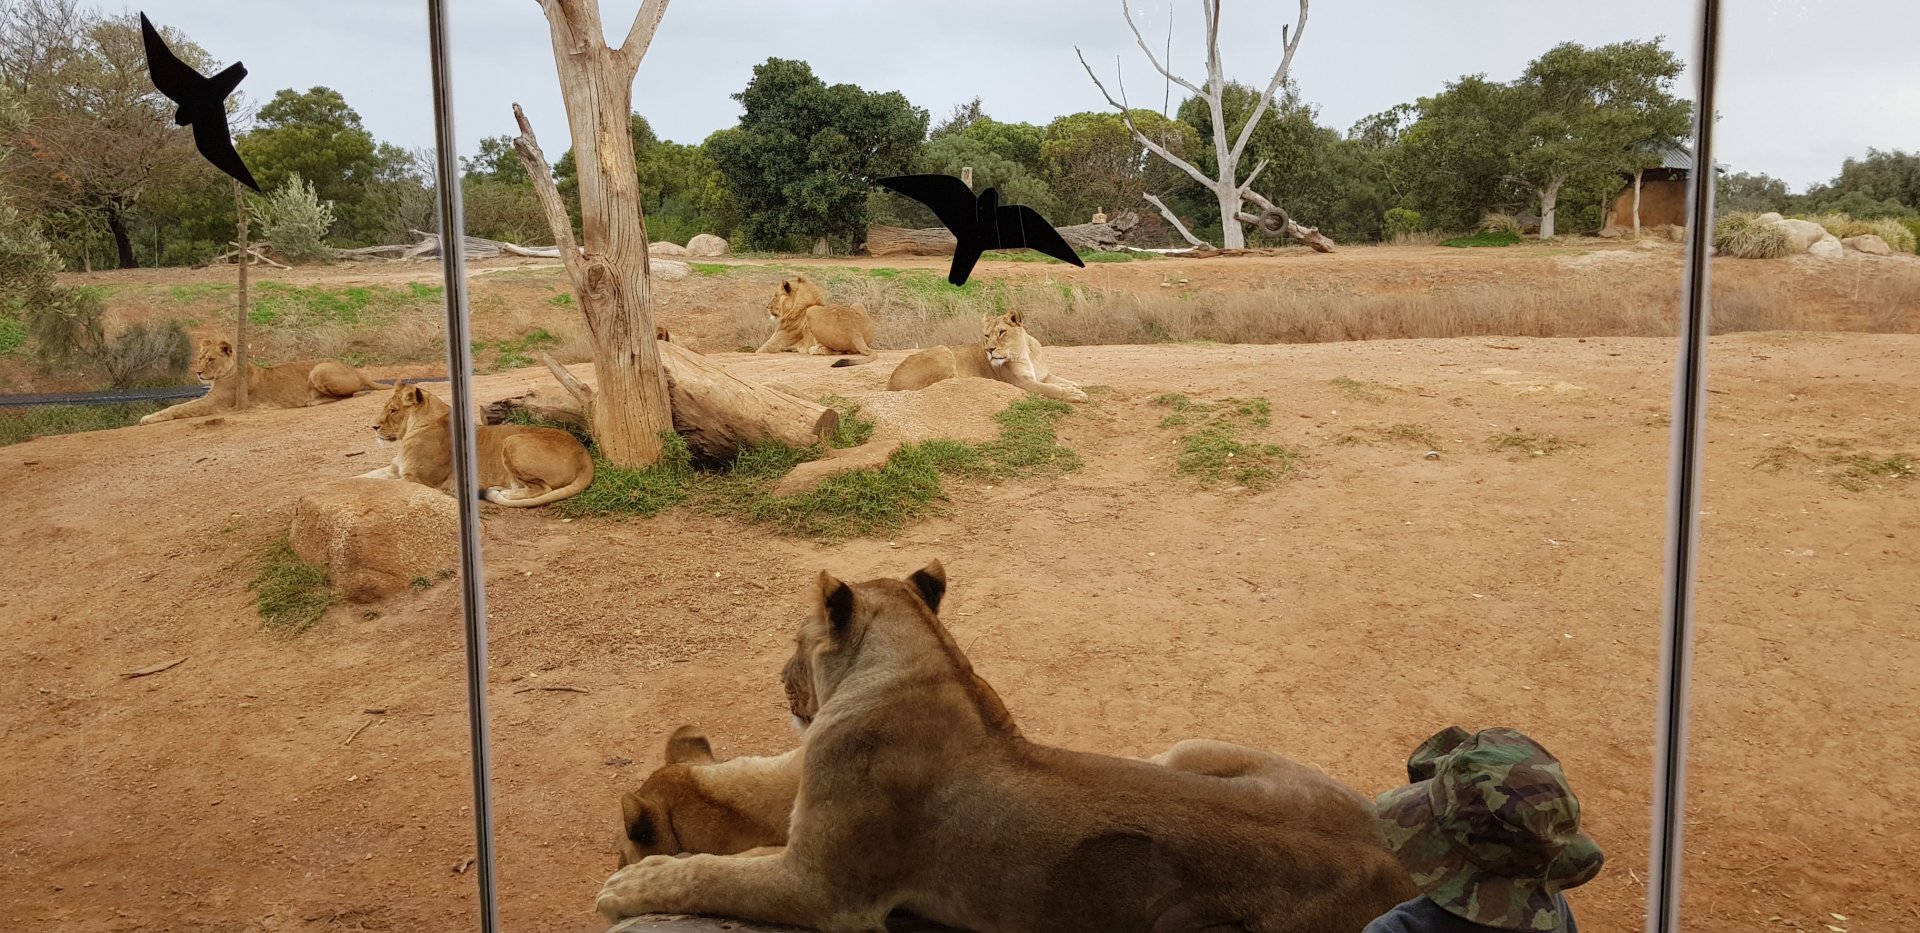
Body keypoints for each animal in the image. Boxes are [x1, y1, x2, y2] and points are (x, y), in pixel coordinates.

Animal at [138, 338, 383, 425]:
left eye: (211, 359)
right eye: (200, 358)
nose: (198, 373)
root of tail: (354, 369)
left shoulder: (216, 402)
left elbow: (179, 407)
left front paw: (148, 418)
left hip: (318, 370)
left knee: (351, 394)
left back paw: (312, 401)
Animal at [357, 381, 593, 507]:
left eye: (393, 411)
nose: (373, 427)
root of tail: (584, 454)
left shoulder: (418, 479)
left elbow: (382, 485)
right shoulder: (394, 469)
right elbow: (362, 477)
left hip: (512, 440)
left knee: (542, 488)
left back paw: (502, 494)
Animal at [596, 561, 1415, 932]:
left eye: (796, 645)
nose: (780, 679)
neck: (922, 666)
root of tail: (1397, 852)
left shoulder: (827, 892)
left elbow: (707, 873)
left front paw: (630, 885)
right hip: (1190, 747)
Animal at [885, 309, 1087, 402]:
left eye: (1002, 332)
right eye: (987, 335)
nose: (989, 350)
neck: (1025, 351)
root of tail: (890, 383)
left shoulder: (1044, 375)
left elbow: (1059, 379)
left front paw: (1076, 384)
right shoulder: (1021, 382)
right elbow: (1050, 388)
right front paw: (1073, 394)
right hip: (943, 350)